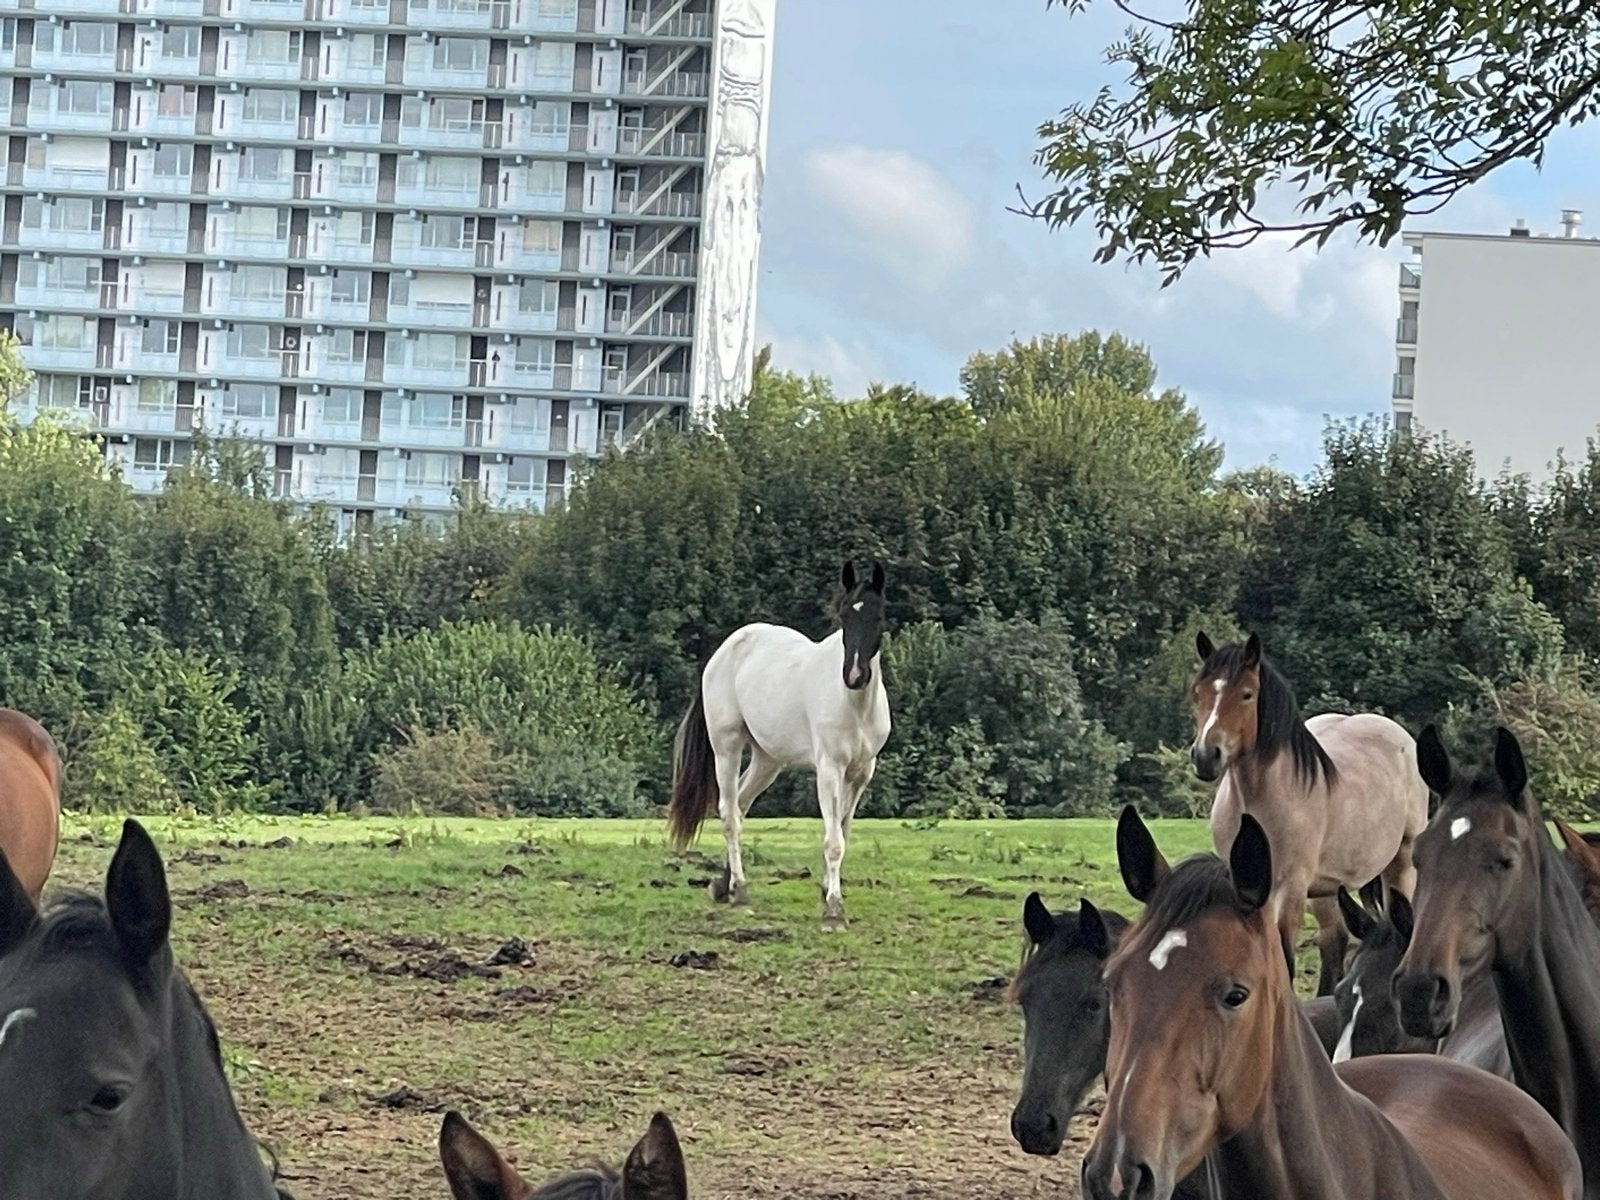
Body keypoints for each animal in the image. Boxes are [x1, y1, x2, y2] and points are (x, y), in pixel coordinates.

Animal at [665, 561, 891, 929]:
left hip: (767, 760)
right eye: (844, 615)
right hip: (727, 747)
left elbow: (842, 831)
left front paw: (827, 892)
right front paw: (834, 910)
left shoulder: (860, 774)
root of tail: (724, 651)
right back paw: (740, 891)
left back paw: (723, 886)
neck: (855, 706)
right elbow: (833, 841)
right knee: (729, 813)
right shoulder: (829, 769)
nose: (854, 676)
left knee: (740, 805)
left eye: (878, 615)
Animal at [1190, 631, 1429, 996]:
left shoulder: (1290, 888)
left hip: (1400, 865)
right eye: (1199, 692)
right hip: (1328, 889)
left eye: (1247, 694)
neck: (1257, 805)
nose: (1205, 756)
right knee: (1334, 942)